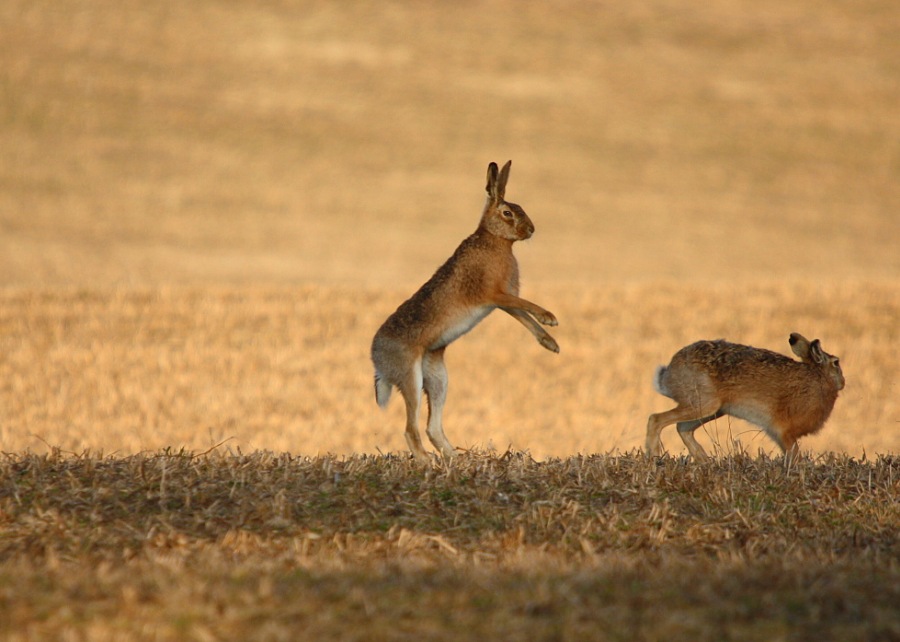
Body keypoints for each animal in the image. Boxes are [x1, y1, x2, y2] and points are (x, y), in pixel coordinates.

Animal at [371, 160, 559, 462]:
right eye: (507, 212)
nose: (531, 230)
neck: (495, 239)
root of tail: (375, 359)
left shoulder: (501, 301)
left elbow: (524, 317)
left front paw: (550, 343)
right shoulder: (493, 294)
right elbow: (527, 307)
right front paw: (550, 318)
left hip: (437, 377)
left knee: (432, 427)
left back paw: (456, 460)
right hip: (410, 375)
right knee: (411, 429)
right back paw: (428, 463)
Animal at [646, 333, 844, 462]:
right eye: (836, 363)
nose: (843, 382)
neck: (820, 377)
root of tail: (669, 374)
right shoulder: (785, 431)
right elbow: (794, 455)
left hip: (712, 410)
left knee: (682, 428)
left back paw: (705, 461)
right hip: (704, 403)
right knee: (656, 419)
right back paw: (655, 458)